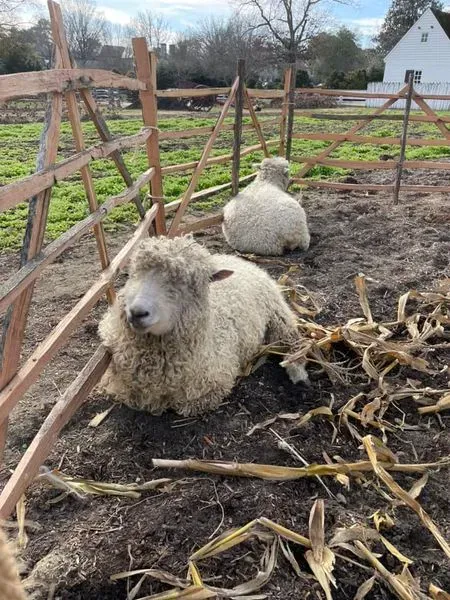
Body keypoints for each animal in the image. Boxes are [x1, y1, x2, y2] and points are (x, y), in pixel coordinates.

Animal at [98, 236, 310, 418]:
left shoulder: (213, 387)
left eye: (189, 283)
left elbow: (183, 406)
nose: (137, 312)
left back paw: (298, 373)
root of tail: (238, 259)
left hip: (279, 315)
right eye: (133, 274)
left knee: (293, 342)